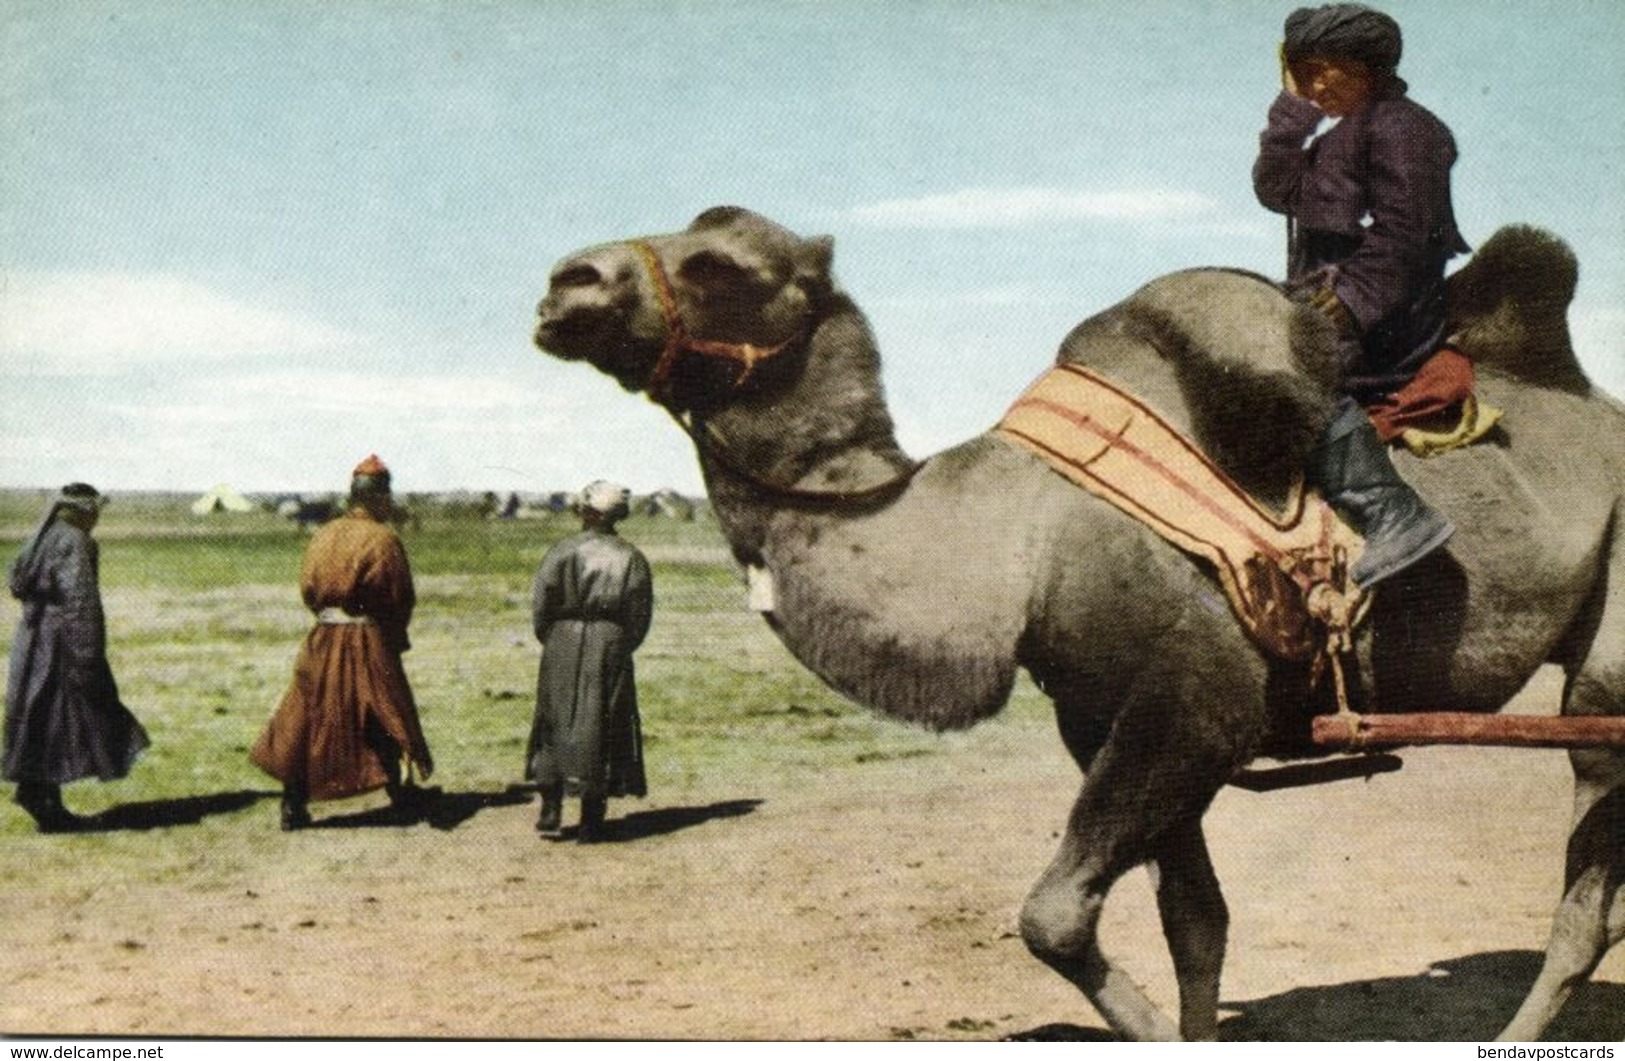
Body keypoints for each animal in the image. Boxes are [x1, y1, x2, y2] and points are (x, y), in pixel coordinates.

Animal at [533, 204, 1625, 1033]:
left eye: (718, 262)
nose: (564, 283)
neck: (1022, 546)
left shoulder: (1198, 704)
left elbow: (1054, 916)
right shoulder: (1106, 718)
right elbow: (1194, 922)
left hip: (1604, 666)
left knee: (1583, 889)